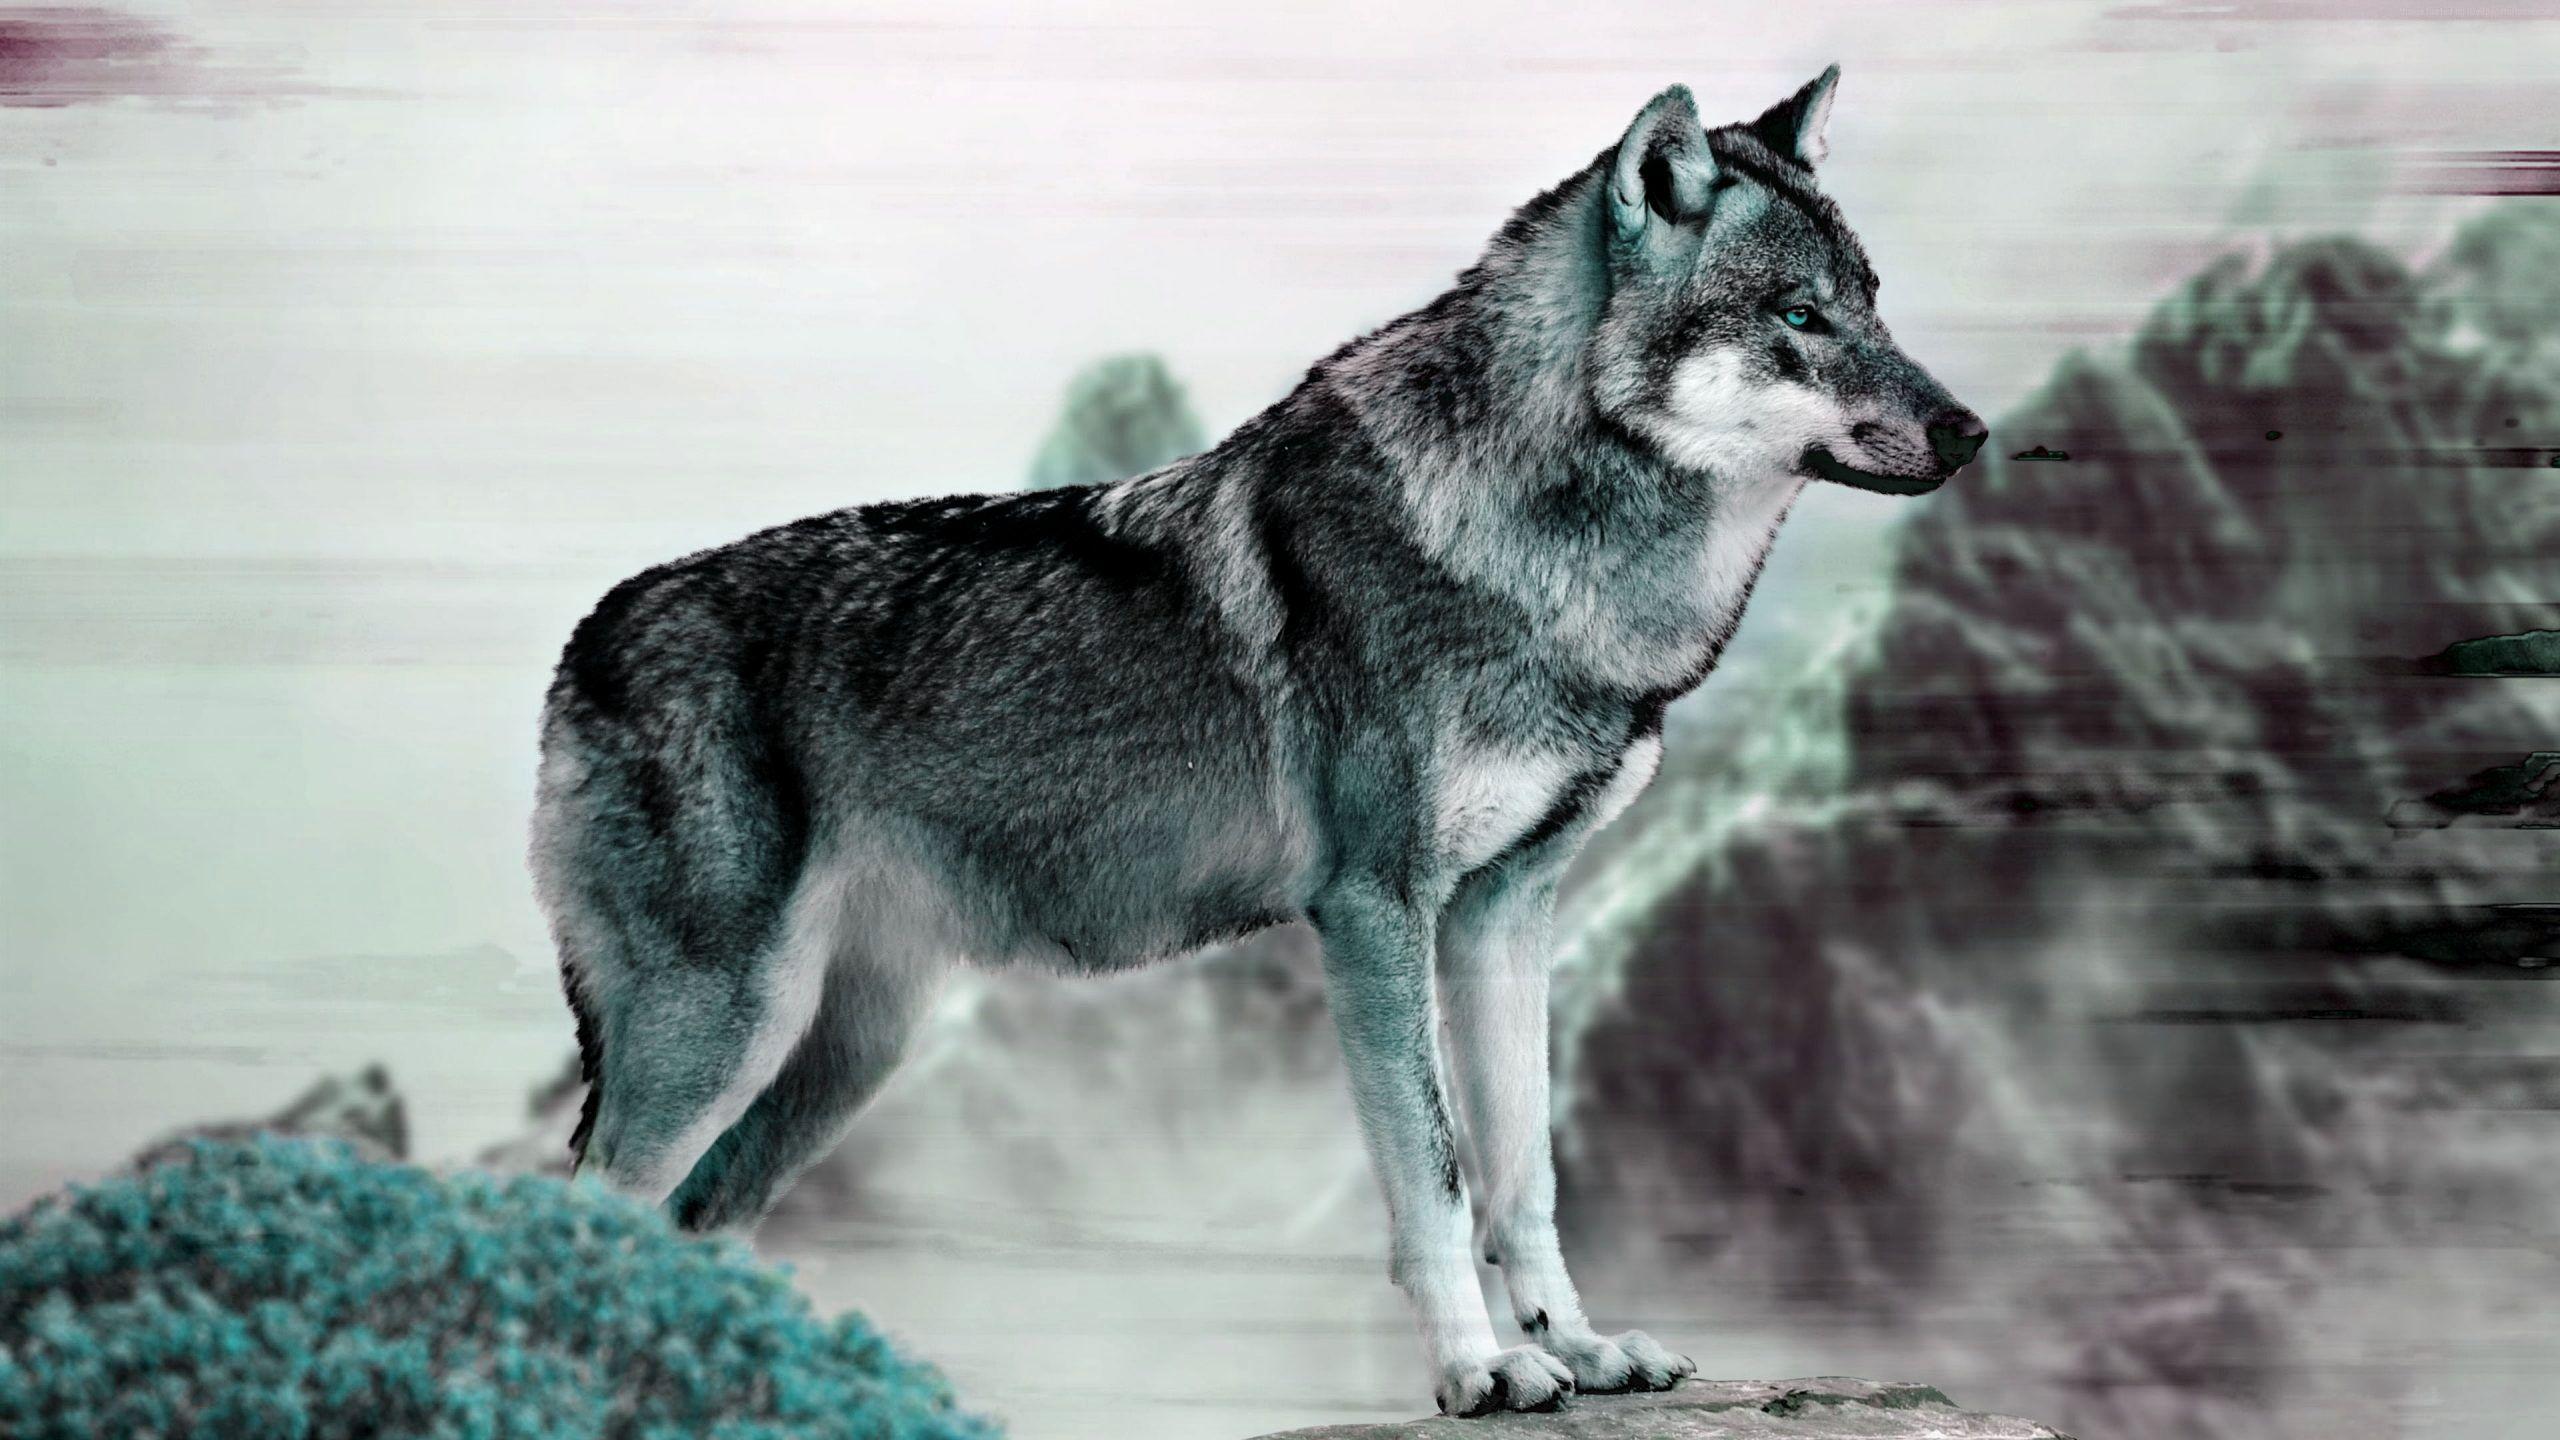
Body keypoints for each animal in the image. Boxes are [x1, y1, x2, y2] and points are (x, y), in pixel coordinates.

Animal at [531, 68, 1984, 1416]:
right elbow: (1437, 1177)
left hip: (841, 1053)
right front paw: (1479, 1370)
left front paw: (1579, 1349)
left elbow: (1527, 1176)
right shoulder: (1377, 910)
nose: (1970, 432)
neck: (1547, 563)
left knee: (694, 1223)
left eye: (1869, 301)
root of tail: (581, 637)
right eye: (1796, 317)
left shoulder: (1505, 915)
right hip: (725, 1028)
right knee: (587, 1213)